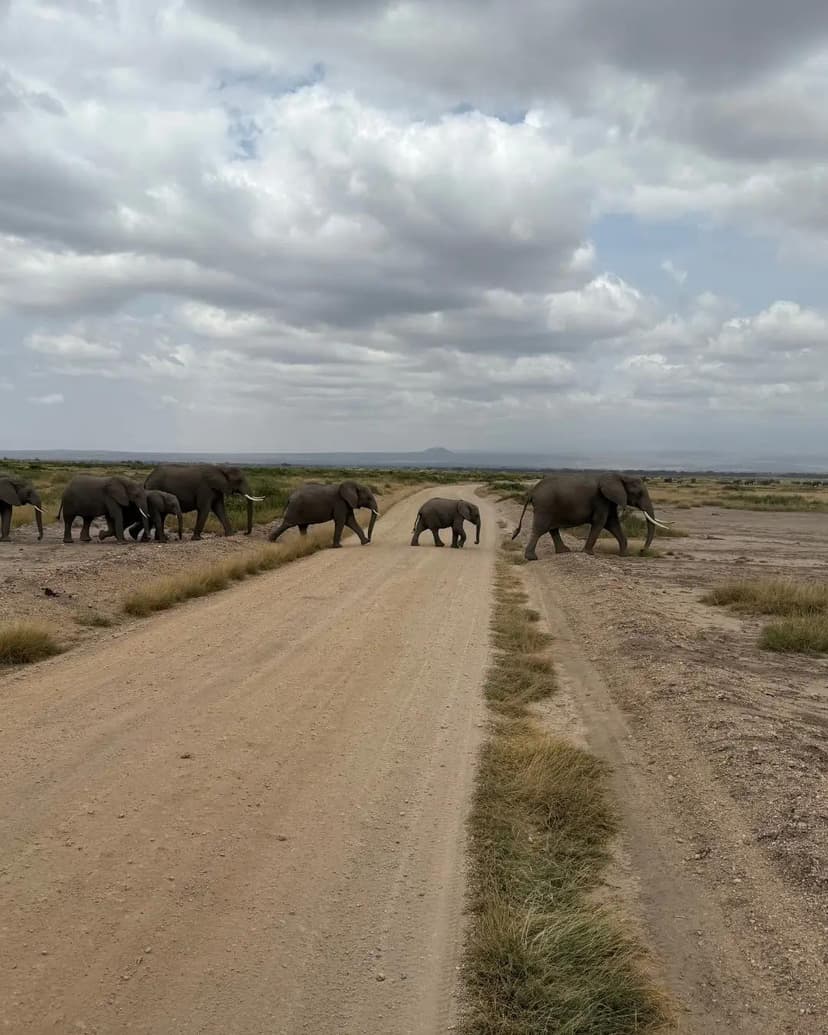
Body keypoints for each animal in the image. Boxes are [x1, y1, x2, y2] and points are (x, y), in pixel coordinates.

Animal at [511, 472, 670, 561]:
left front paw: (624, 555)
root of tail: (532, 492)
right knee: (540, 529)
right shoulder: (601, 499)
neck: (619, 476)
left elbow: (612, 523)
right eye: (639, 493)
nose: (642, 551)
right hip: (545, 505)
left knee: (552, 529)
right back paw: (532, 558)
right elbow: (600, 522)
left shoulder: (609, 500)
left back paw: (564, 551)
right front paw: (588, 553)